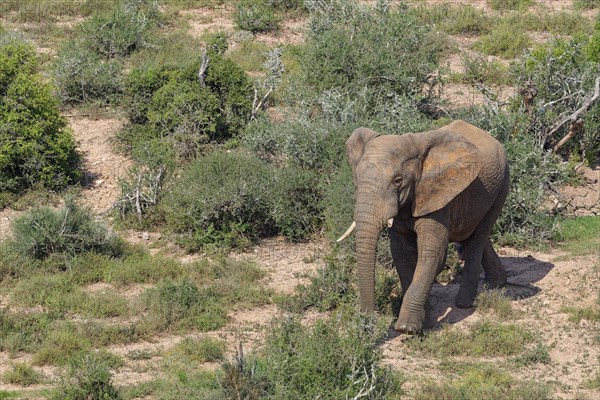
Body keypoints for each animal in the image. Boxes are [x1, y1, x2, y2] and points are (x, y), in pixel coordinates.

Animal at [340, 120, 508, 332]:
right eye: (357, 178)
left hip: (502, 186)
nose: (367, 319)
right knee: (472, 234)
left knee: (478, 238)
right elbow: (402, 253)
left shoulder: (438, 194)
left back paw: (464, 303)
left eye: (398, 181)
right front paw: (425, 321)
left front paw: (407, 328)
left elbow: (431, 252)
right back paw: (498, 283)